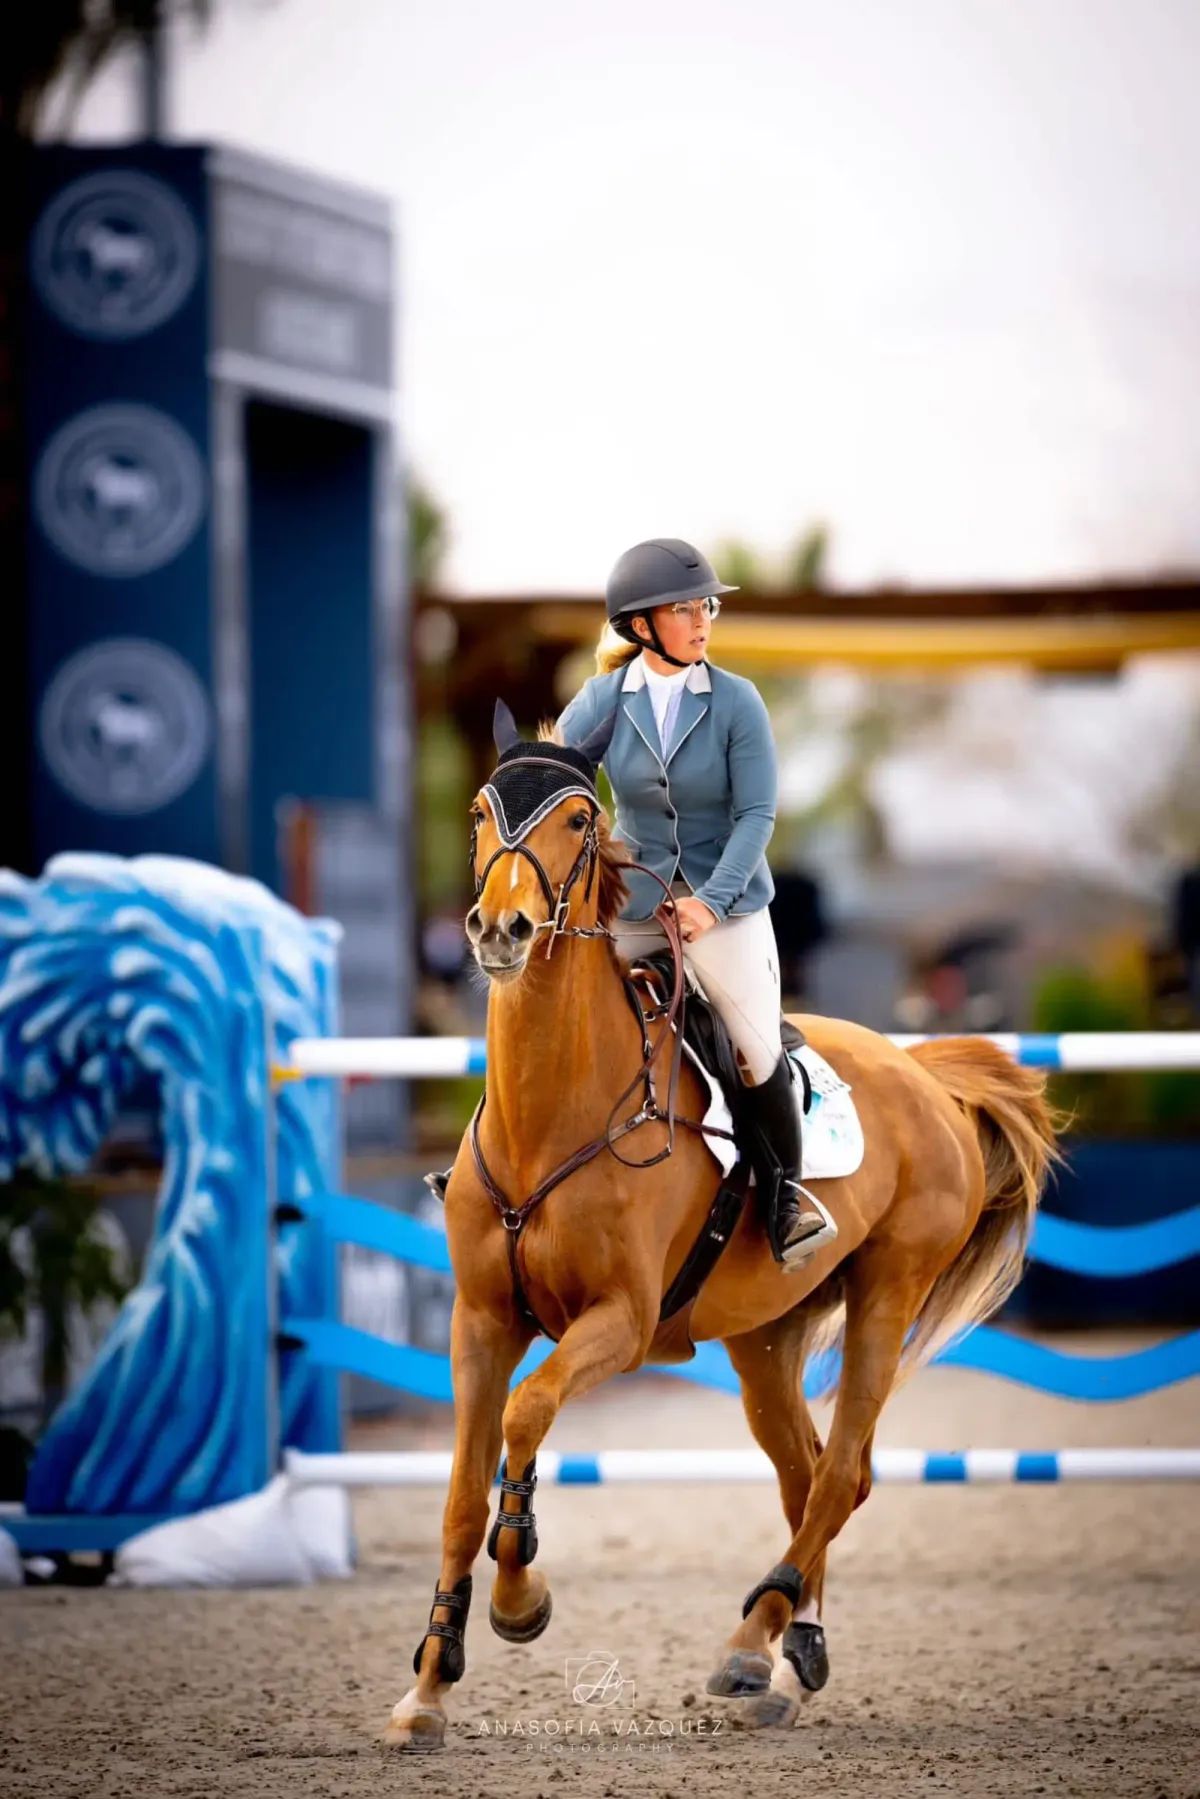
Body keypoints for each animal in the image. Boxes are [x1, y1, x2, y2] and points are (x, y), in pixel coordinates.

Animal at [385, 716, 1060, 1750]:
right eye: (477, 813)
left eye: (577, 819)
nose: (500, 932)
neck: (550, 1112)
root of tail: (924, 1073)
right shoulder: (482, 1320)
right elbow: (463, 1493)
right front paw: (428, 1683)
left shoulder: (619, 1323)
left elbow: (528, 1412)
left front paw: (519, 1599)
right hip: (764, 1337)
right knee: (810, 1474)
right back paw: (789, 1661)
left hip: (888, 1293)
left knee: (841, 1474)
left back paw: (751, 1639)